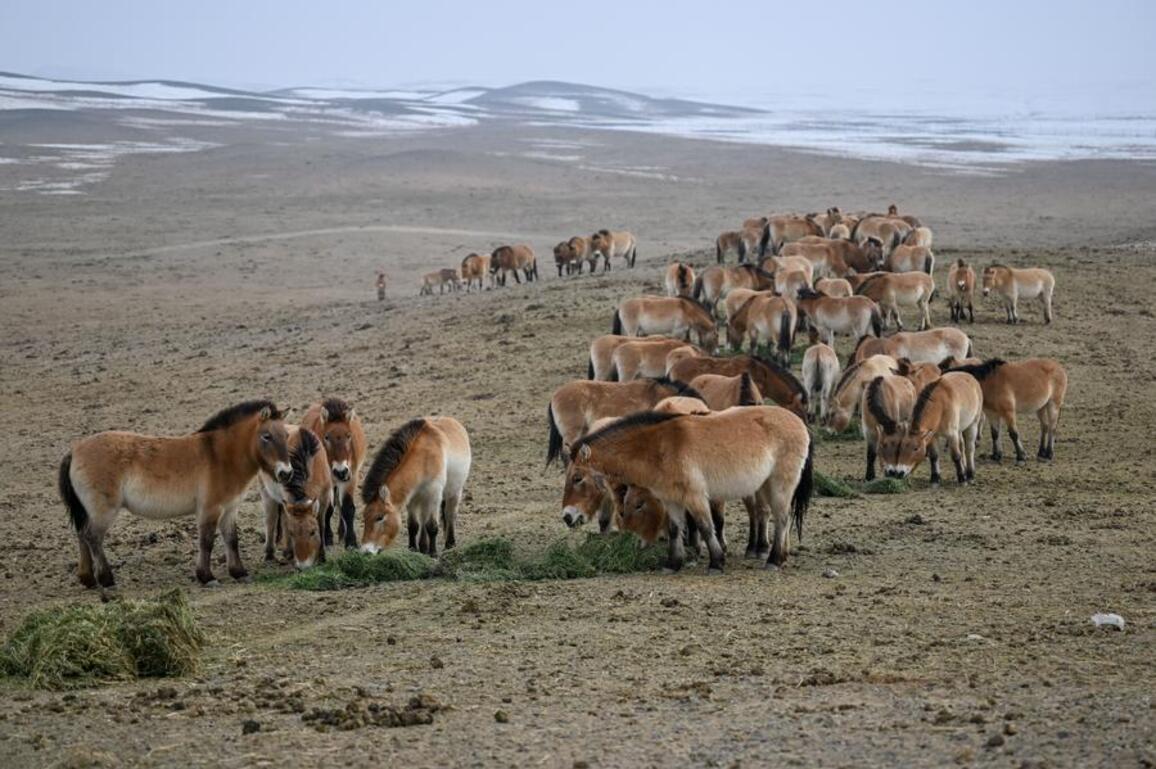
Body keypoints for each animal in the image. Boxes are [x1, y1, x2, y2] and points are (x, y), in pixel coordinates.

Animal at [58, 400, 291, 588]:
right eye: (267, 436)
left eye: (287, 435)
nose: (286, 473)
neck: (219, 456)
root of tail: (75, 450)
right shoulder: (210, 509)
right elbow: (206, 541)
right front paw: (206, 577)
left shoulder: (229, 509)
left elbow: (231, 539)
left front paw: (239, 573)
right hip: (103, 511)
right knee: (92, 537)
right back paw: (107, 580)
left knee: (82, 535)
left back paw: (88, 580)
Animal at [258, 425, 332, 569]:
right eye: (293, 533)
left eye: (313, 532)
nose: (303, 566)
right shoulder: (287, 497)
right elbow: (286, 523)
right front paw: (290, 553)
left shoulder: (324, 498)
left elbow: (321, 523)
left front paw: (322, 556)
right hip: (266, 492)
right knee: (271, 520)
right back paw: (271, 553)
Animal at [300, 398, 366, 550]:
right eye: (326, 437)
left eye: (348, 435)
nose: (340, 471)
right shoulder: (327, 481)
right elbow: (328, 510)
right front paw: (328, 537)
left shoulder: (351, 477)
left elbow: (347, 507)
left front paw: (351, 542)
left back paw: (342, 532)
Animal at [361, 417, 471, 556]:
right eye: (365, 517)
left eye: (379, 517)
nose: (365, 550)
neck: (423, 458)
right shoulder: (412, 499)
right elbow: (413, 525)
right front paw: (413, 549)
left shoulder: (434, 495)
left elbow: (432, 526)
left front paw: (433, 553)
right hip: (423, 499)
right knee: (423, 519)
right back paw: (423, 548)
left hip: (454, 492)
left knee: (450, 515)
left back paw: (449, 544)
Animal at [563, 407, 813, 570]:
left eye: (577, 478)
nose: (567, 516)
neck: (659, 447)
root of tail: (799, 422)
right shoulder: (671, 499)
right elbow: (675, 529)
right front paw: (673, 563)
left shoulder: (695, 496)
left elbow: (705, 527)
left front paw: (716, 562)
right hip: (764, 486)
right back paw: (778, 556)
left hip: (780, 484)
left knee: (781, 519)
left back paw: (773, 560)